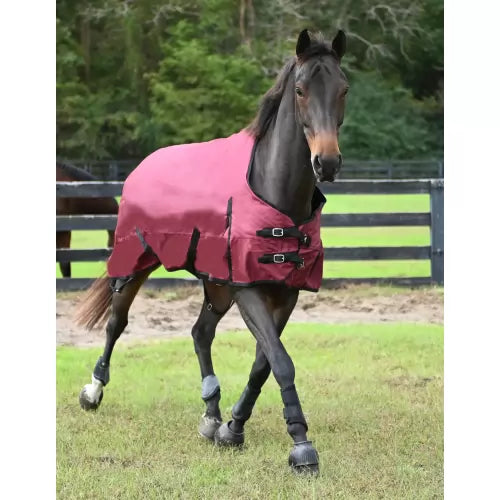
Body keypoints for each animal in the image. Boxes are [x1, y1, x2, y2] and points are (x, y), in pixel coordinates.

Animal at [74, 29, 348, 474]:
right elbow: (281, 361)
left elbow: (263, 365)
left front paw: (232, 428)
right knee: (117, 323)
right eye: (301, 89)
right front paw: (301, 445)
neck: (275, 192)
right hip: (136, 264)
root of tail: (140, 167)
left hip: (216, 286)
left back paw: (211, 412)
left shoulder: (284, 293)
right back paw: (94, 390)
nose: (327, 162)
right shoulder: (248, 289)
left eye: (343, 89)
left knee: (200, 333)